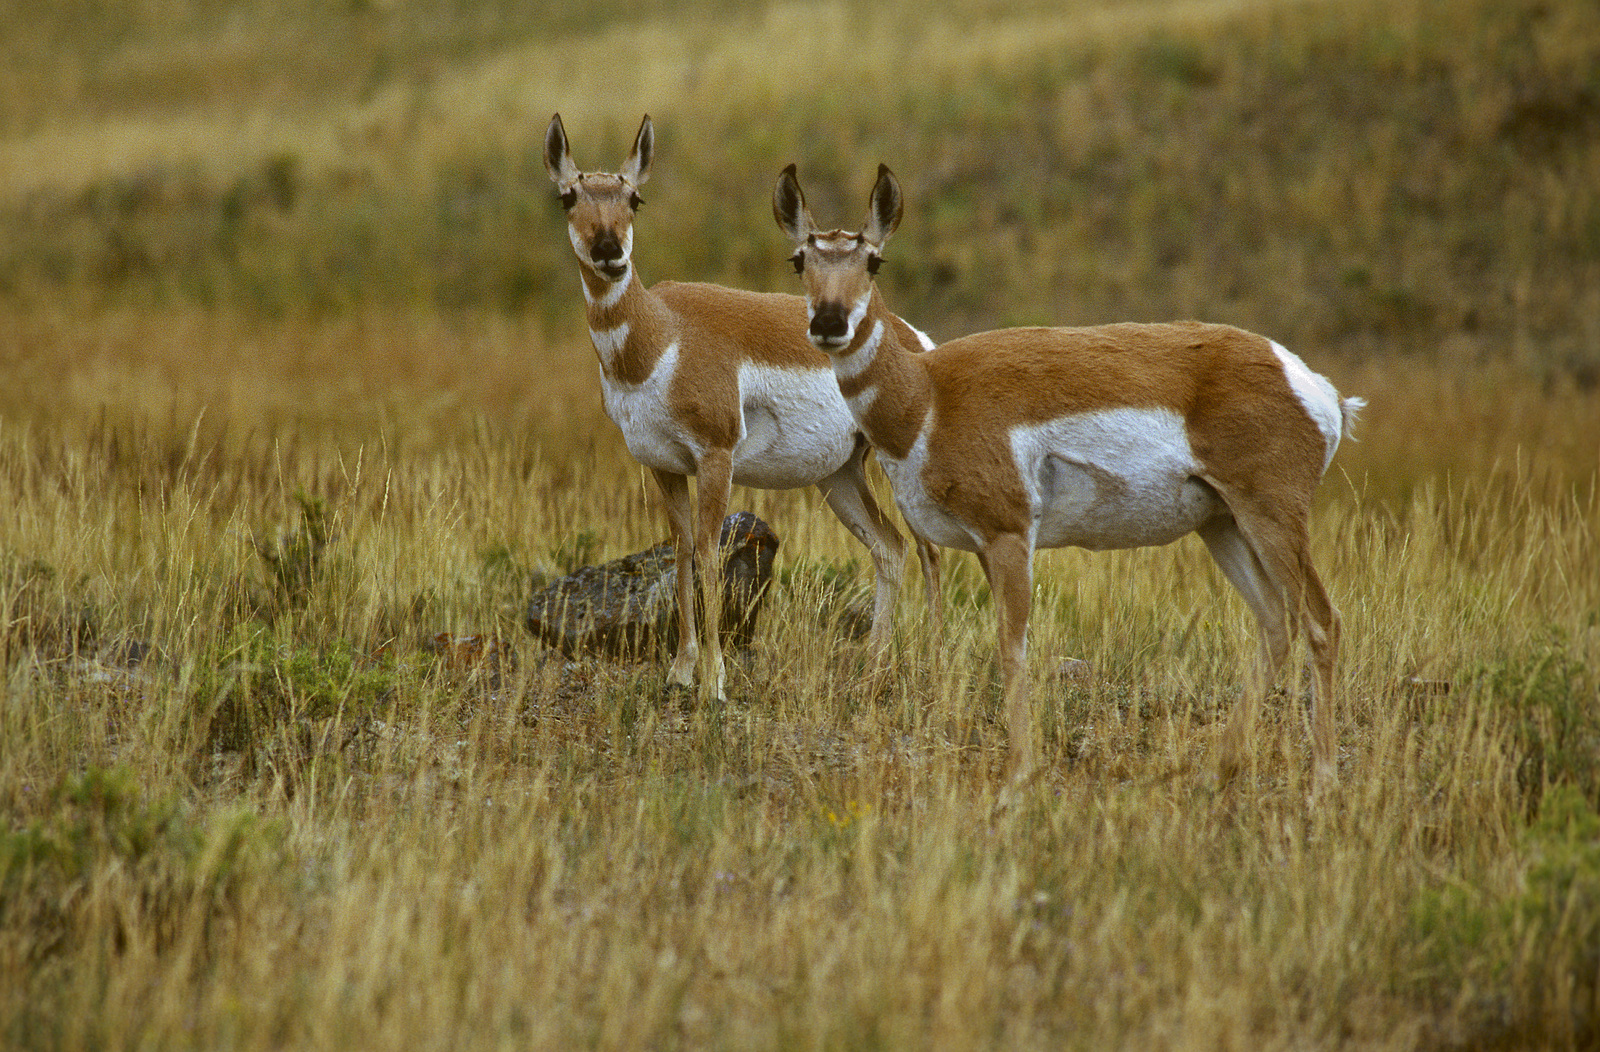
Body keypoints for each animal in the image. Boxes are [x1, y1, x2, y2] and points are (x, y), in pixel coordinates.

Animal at [544, 116, 934, 697]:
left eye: (635, 198)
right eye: (569, 196)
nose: (610, 253)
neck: (663, 335)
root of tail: (910, 336)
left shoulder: (716, 458)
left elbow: (709, 554)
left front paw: (714, 682)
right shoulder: (663, 465)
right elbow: (681, 552)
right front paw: (681, 671)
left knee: (929, 548)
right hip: (839, 475)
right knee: (890, 547)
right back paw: (874, 671)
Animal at [774, 157, 1363, 777]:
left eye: (873, 260)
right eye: (799, 260)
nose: (829, 322)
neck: (928, 396)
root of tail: (1309, 382)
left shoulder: (1009, 535)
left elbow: (1013, 648)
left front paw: (1019, 770)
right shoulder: (982, 545)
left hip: (1272, 516)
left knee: (1322, 621)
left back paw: (1323, 777)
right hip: (1222, 523)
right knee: (1276, 624)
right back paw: (1216, 769)